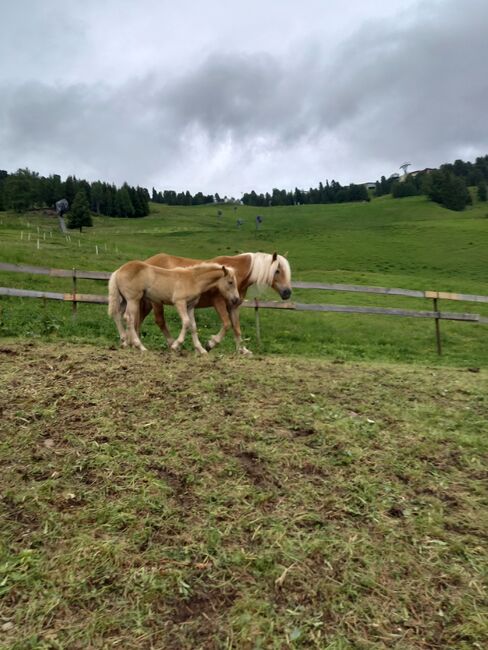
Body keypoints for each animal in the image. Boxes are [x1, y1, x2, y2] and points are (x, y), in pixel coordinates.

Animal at [110, 258, 240, 352]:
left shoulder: (190, 306)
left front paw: (201, 349)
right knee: (129, 318)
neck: (193, 279)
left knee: (118, 314)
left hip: (125, 300)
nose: (236, 299)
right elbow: (186, 322)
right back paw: (140, 346)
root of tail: (118, 271)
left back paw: (124, 341)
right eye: (230, 282)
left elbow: (193, 326)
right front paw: (176, 345)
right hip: (133, 299)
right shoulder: (179, 303)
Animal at [140, 252, 294, 354]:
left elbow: (236, 327)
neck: (236, 272)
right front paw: (210, 344)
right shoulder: (218, 302)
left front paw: (243, 349)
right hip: (156, 303)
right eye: (277, 271)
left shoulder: (234, 305)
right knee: (160, 321)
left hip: (147, 303)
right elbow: (226, 324)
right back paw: (173, 344)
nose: (287, 292)